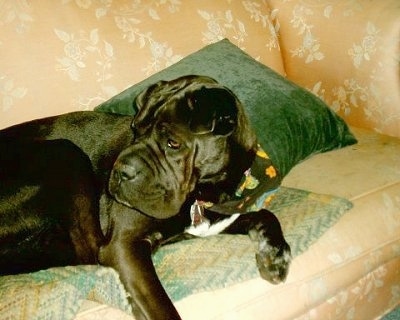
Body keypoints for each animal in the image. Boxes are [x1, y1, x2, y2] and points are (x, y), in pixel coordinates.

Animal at [0, 75, 290, 320]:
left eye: (173, 142)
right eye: (137, 130)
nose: (120, 171)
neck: (202, 191)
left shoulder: (210, 217)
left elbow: (263, 214)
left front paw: (275, 255)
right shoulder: (124, 246)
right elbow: (161, 309)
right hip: (65, 152)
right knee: (89, 250)